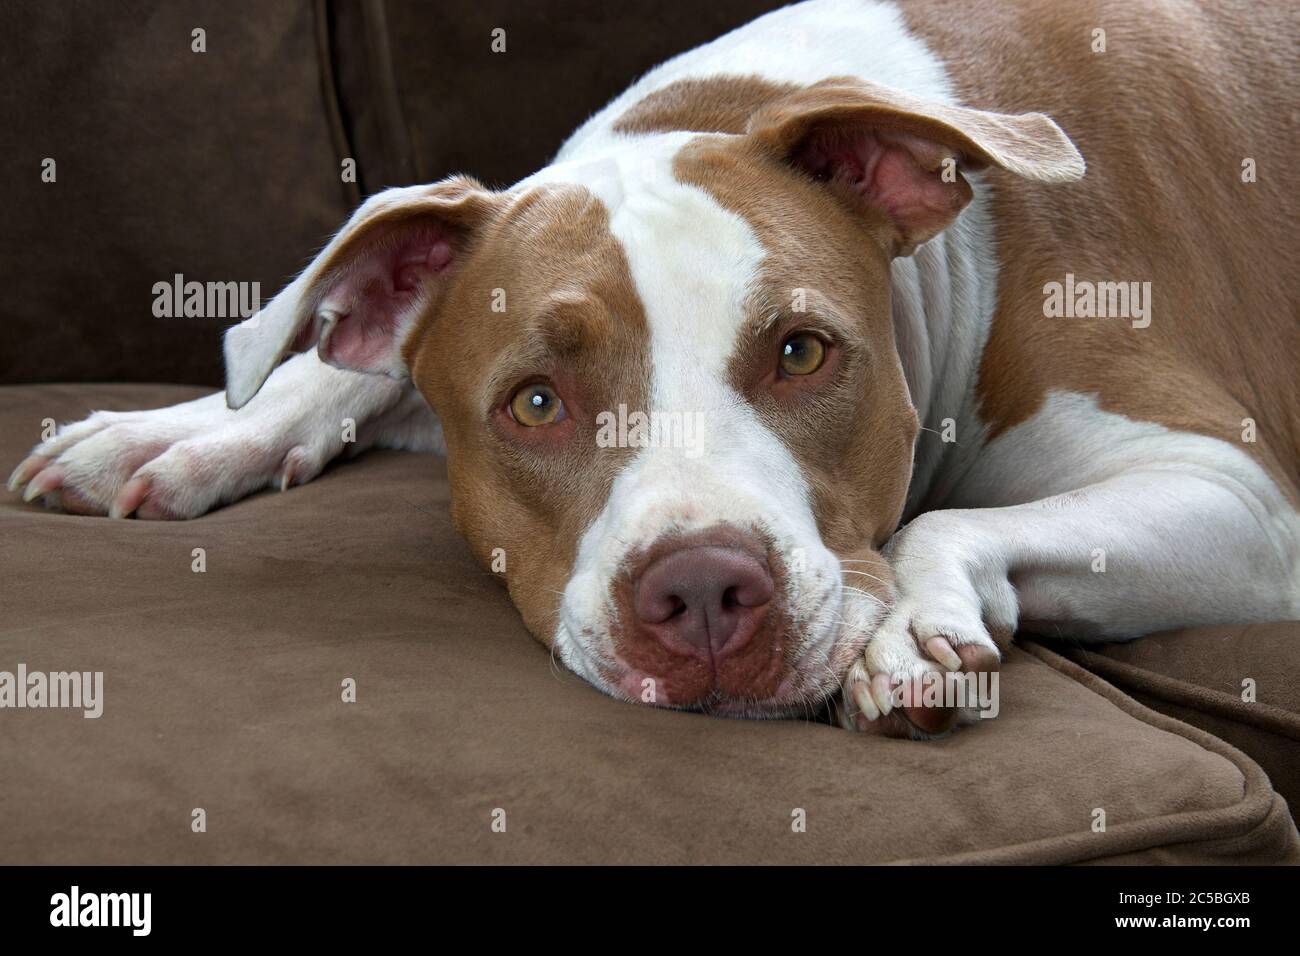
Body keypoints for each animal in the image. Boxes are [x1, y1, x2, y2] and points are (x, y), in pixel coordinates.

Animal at [10, 0, 1300, 738]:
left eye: (801, 351)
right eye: (534, 401)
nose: (704, 590)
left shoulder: (1238, 497)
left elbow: (940, 524)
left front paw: (905, 626)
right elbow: (340, 350)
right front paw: (182, 430)